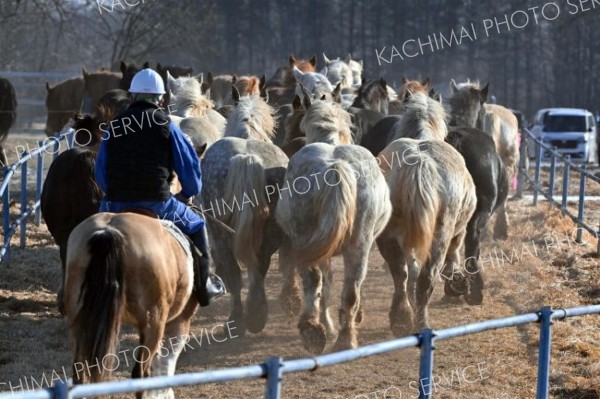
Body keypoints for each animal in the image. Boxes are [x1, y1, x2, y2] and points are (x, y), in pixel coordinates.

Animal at [65, 212, 197, 399]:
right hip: (154, 323)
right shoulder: (181, 319)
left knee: (81, 372)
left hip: (80, 322)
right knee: (140, 373)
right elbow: (168, 359)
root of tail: (108, 231)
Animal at [199, 92, 288, 336]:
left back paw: (239, 319)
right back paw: (255, 315)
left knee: (237, 274)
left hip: (220, 232)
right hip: (270, 232)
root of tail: (246, 158)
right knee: (259, 267)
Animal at [276, 99, 394, 354]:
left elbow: (326, 285)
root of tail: (335, 166)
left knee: (315, 281)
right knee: (350, 292)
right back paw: (343, 338)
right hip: (358, 247)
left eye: (293, 124)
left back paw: (314, 330)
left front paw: (327, 324)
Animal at [378, 92, 476, 336]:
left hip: (388, 236)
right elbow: (453, 257)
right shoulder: (458, 232)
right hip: (440, 234)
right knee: (426, 277)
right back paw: (419, 322)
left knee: (401, 274)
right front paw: (457, 283)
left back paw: (402, 319)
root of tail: (419, 164)